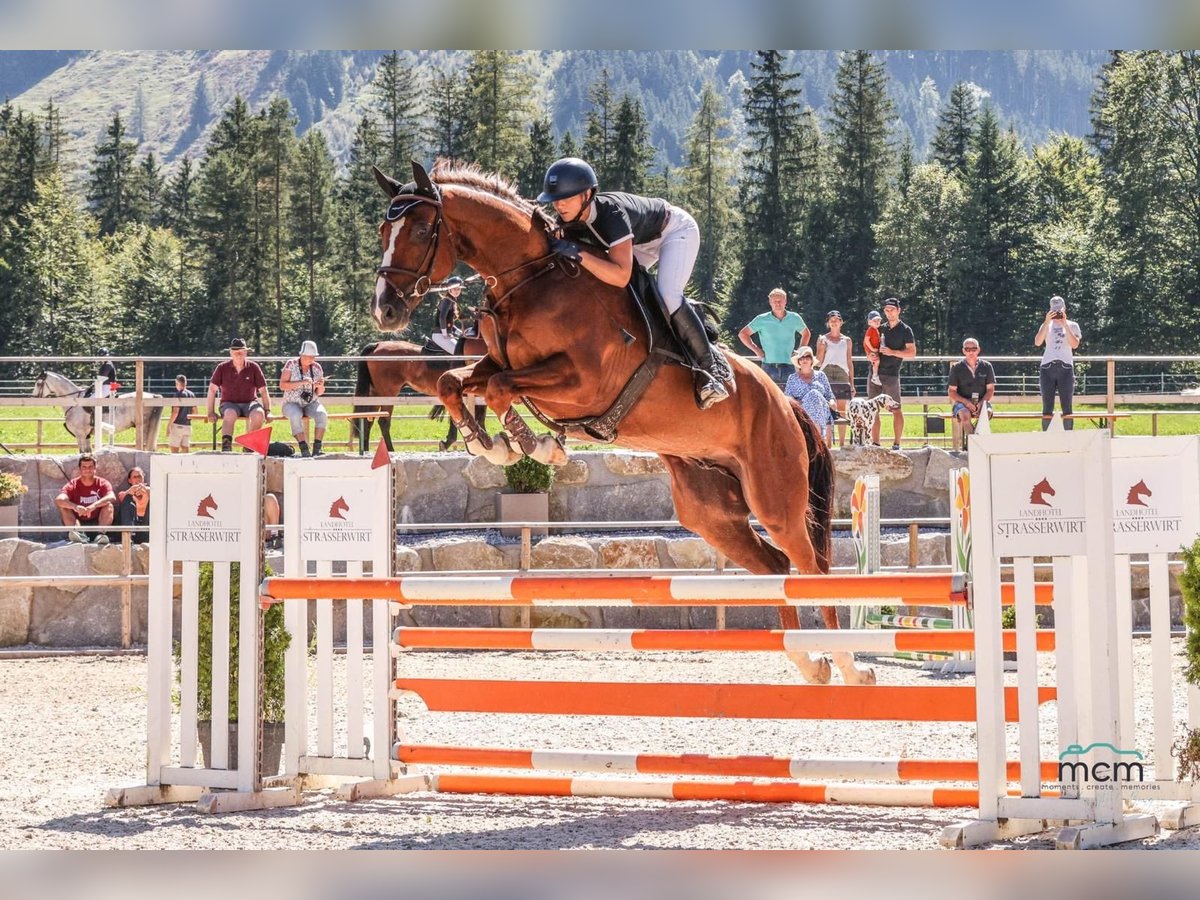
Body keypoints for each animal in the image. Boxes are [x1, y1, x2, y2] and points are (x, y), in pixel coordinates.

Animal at [31, 369, 164, 453]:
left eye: (38, 383)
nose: (33, 398)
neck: (75, 402)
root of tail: (153, 395)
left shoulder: (80, 435)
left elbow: (82, 452)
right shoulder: (86, 436)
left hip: (145, 427)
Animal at [350, 336, 487, 453]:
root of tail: (377, 345)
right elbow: (475, 418)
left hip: (376, 393)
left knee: (368, 419)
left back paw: (367, 451)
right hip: (387, 394)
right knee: (383, 421)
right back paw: (390, 450)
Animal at [369, 162, 868, 686]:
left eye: (420, 230)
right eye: (383, 230)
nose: (385, 310)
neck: (529, 280)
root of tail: (786, 404)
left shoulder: (583, 383)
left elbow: (504, 388)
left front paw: (534, 445)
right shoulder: (496, 364)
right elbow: (454, 382)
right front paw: (489, 444)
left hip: (776, 500)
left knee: (810, 568)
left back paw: (849, 667)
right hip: (711, 512)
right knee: (777, 566)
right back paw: (811, 662)